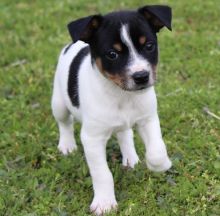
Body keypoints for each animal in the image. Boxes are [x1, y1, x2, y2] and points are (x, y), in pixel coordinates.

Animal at [51, 4, 172, 214]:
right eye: (112, 54)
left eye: (149, 46)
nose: (141, 76)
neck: (122, 95)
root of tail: (73, 44)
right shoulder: (92, 138)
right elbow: (102, 173)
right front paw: (104, 202)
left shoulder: (148, 118)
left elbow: (157, 150)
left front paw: (161, 165)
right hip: (59, 103)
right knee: (64, 123)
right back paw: (67, 145)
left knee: (125, 134)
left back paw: (130, 158)